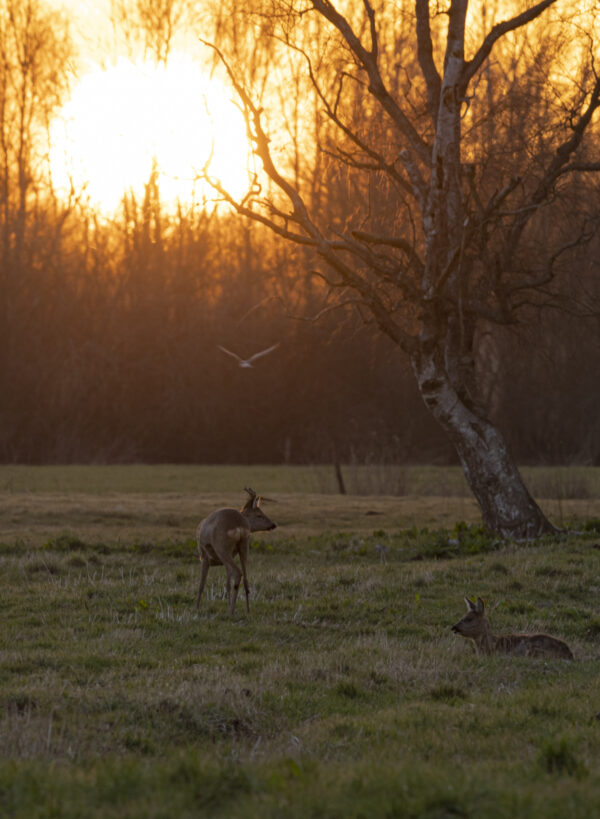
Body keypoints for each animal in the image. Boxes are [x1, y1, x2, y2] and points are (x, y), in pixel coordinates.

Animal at [195, 486, 276, 616]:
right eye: (259, 514)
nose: (273, 525)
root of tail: (239, 526)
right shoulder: (229, 557)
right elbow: (227, 582)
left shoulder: (204, 557)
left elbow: (202, 584)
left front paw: (196, 608)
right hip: (244, 547)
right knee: (245, 578)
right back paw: (247, 610)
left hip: (222, 549)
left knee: (238, 573)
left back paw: (231, 611)